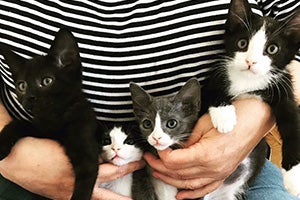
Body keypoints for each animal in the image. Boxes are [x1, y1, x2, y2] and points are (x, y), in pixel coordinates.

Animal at [0, 28, 99, 200]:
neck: (55, 119)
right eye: (22, 86)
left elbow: (86, 174)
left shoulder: (85, 147)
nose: (30, 97)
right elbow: (19, 123)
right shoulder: (40, 130)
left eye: (47, 81)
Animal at [206, 0, 300, 196]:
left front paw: (294, 177)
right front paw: (225, 117)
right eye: (242, 43)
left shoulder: (284, 90)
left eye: (272, 49)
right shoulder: (214, 76)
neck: (248, 81)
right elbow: (212, 89)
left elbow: (292, 126)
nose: (250, 62)